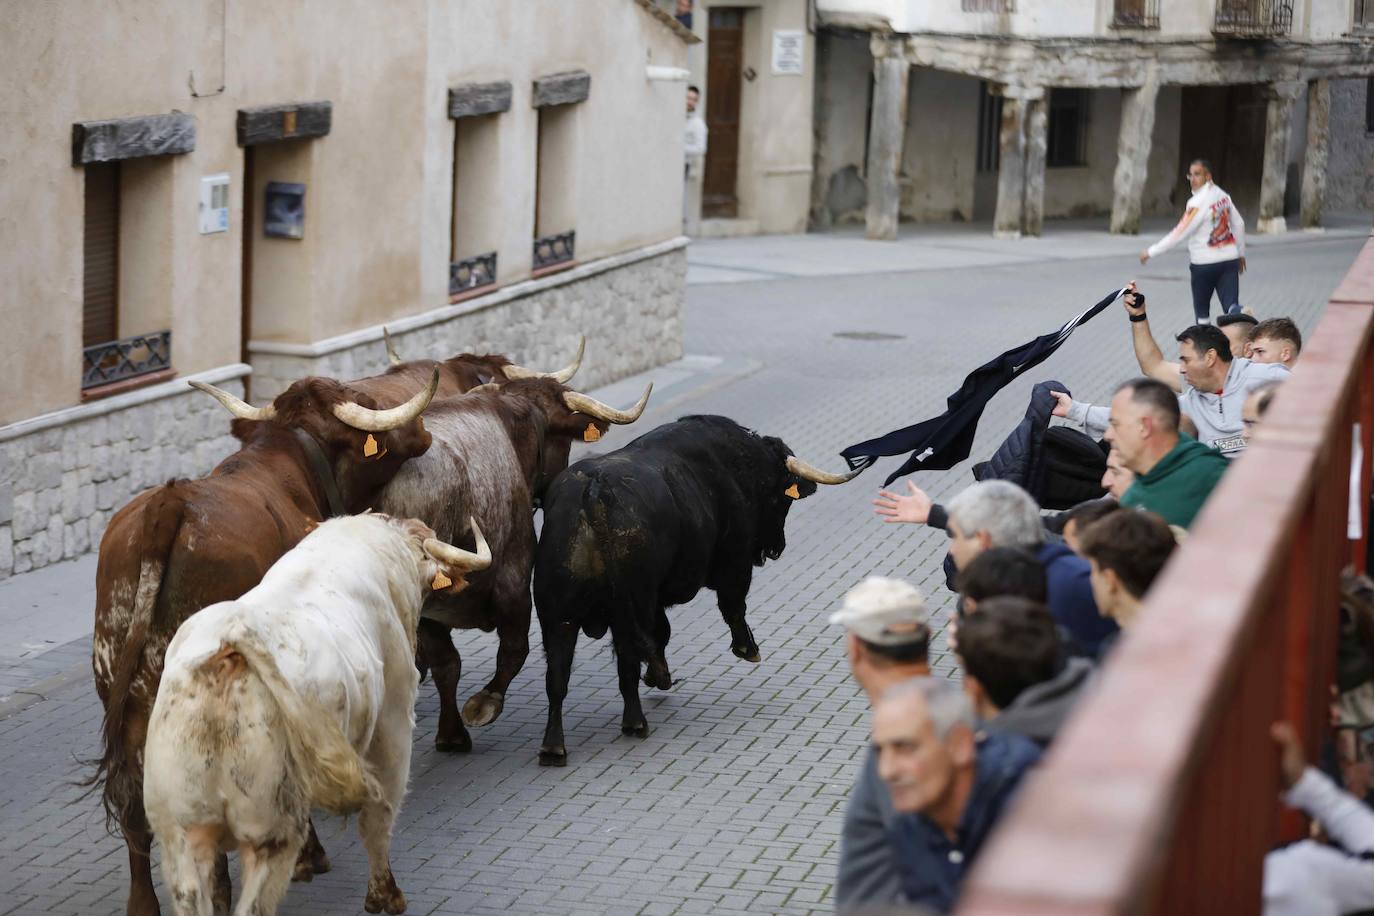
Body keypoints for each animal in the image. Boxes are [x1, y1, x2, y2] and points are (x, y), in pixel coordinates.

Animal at [89, 373, 434, 916]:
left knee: (133, 804)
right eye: (364, 402)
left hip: (124, 693)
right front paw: (311, 855)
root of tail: (170, 505)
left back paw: (143, 901)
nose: (424, 432)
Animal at [376, 376, 654, 758]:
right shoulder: (515, 578)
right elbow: (514, 649)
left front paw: (451, 733)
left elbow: (447, 664)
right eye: (562, 442)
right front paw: (485, 703)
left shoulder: (432, 609)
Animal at [530, 414, 851, 769]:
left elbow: (662, 634)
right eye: (781, 499)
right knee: (626, 660)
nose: (776, 548)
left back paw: (553, 747)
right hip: (627, 606)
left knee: (558, 677)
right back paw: (635, 722)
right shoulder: (734, 560)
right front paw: (746, 649)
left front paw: (658, 675)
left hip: (558, 616)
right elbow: (730, 606)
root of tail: (593, 492)